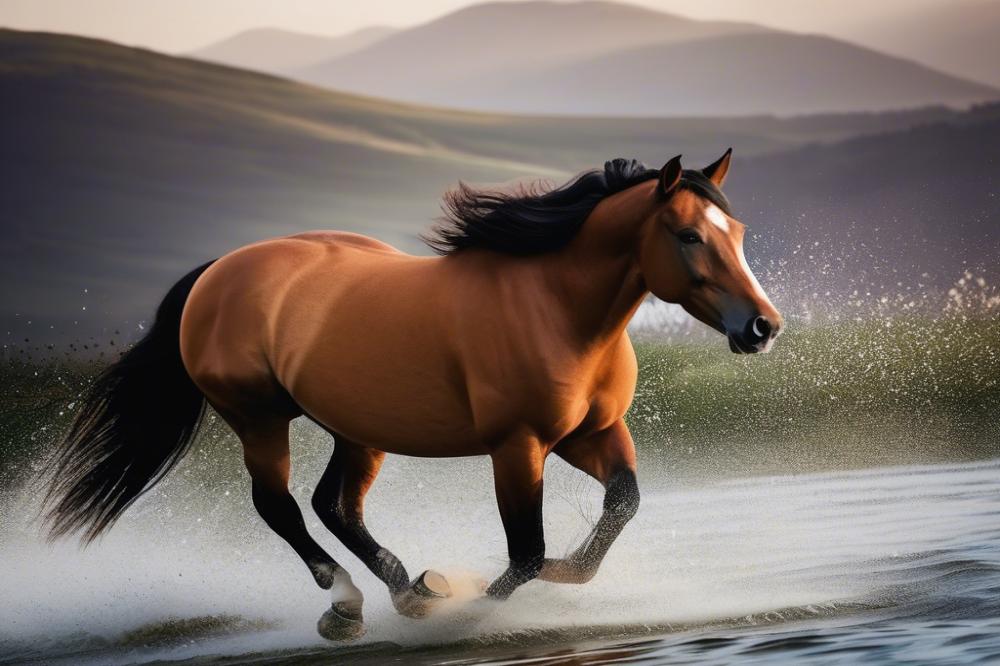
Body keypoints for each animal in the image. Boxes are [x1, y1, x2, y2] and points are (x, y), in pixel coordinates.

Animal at [43, 151, 782, 639]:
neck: (556, 308)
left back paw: (413, 591)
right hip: (257, 419)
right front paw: (477, 603)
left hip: (355, 430)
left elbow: (618, 508)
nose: (763, 327)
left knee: (335, 505)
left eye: (738, 233)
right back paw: (348, 604)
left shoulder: (589, 435)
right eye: (688, 235)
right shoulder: (518, 446)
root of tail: (216, 273)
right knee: (281, 507)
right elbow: (524, 552)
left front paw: (548, 579)